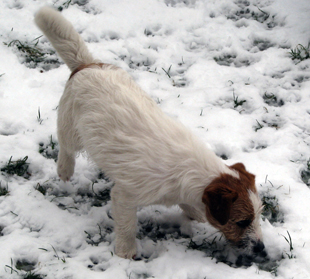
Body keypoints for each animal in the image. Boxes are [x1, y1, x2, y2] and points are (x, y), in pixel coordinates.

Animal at [35, 6, 266, 260]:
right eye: (243, 222)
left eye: (257, 216)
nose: (261, 249)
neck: (192, 172)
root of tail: (88, 65)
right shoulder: (125, 196)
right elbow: (127, 227)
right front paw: (125, 254)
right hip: (71, 126)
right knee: (66, 147)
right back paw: (65, 170)